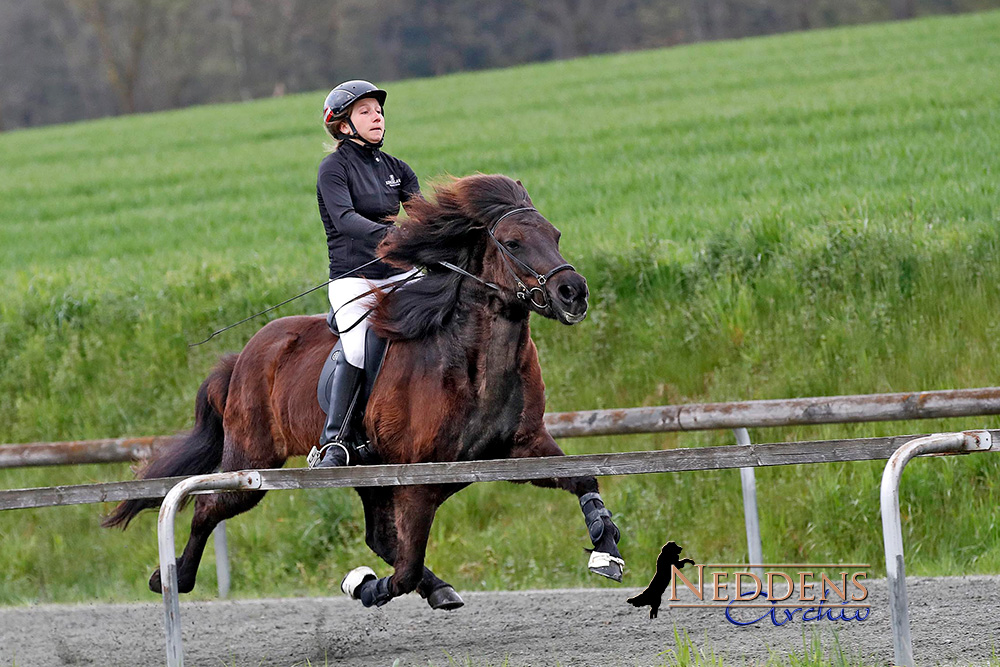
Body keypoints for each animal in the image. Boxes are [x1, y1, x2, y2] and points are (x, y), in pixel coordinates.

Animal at [107, 174, 624, 612]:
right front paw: (364, 585)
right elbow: (406, 564)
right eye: (513, 243)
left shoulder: (519, 449)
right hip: (253, 458)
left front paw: (606, 548)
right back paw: (172, 577)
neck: (474, 363)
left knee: (379, 537)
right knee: (208, 507)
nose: (573, 292)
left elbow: (584, 479)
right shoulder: (418, 478)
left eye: (555, 235)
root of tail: (245, 355)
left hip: (365, 469)